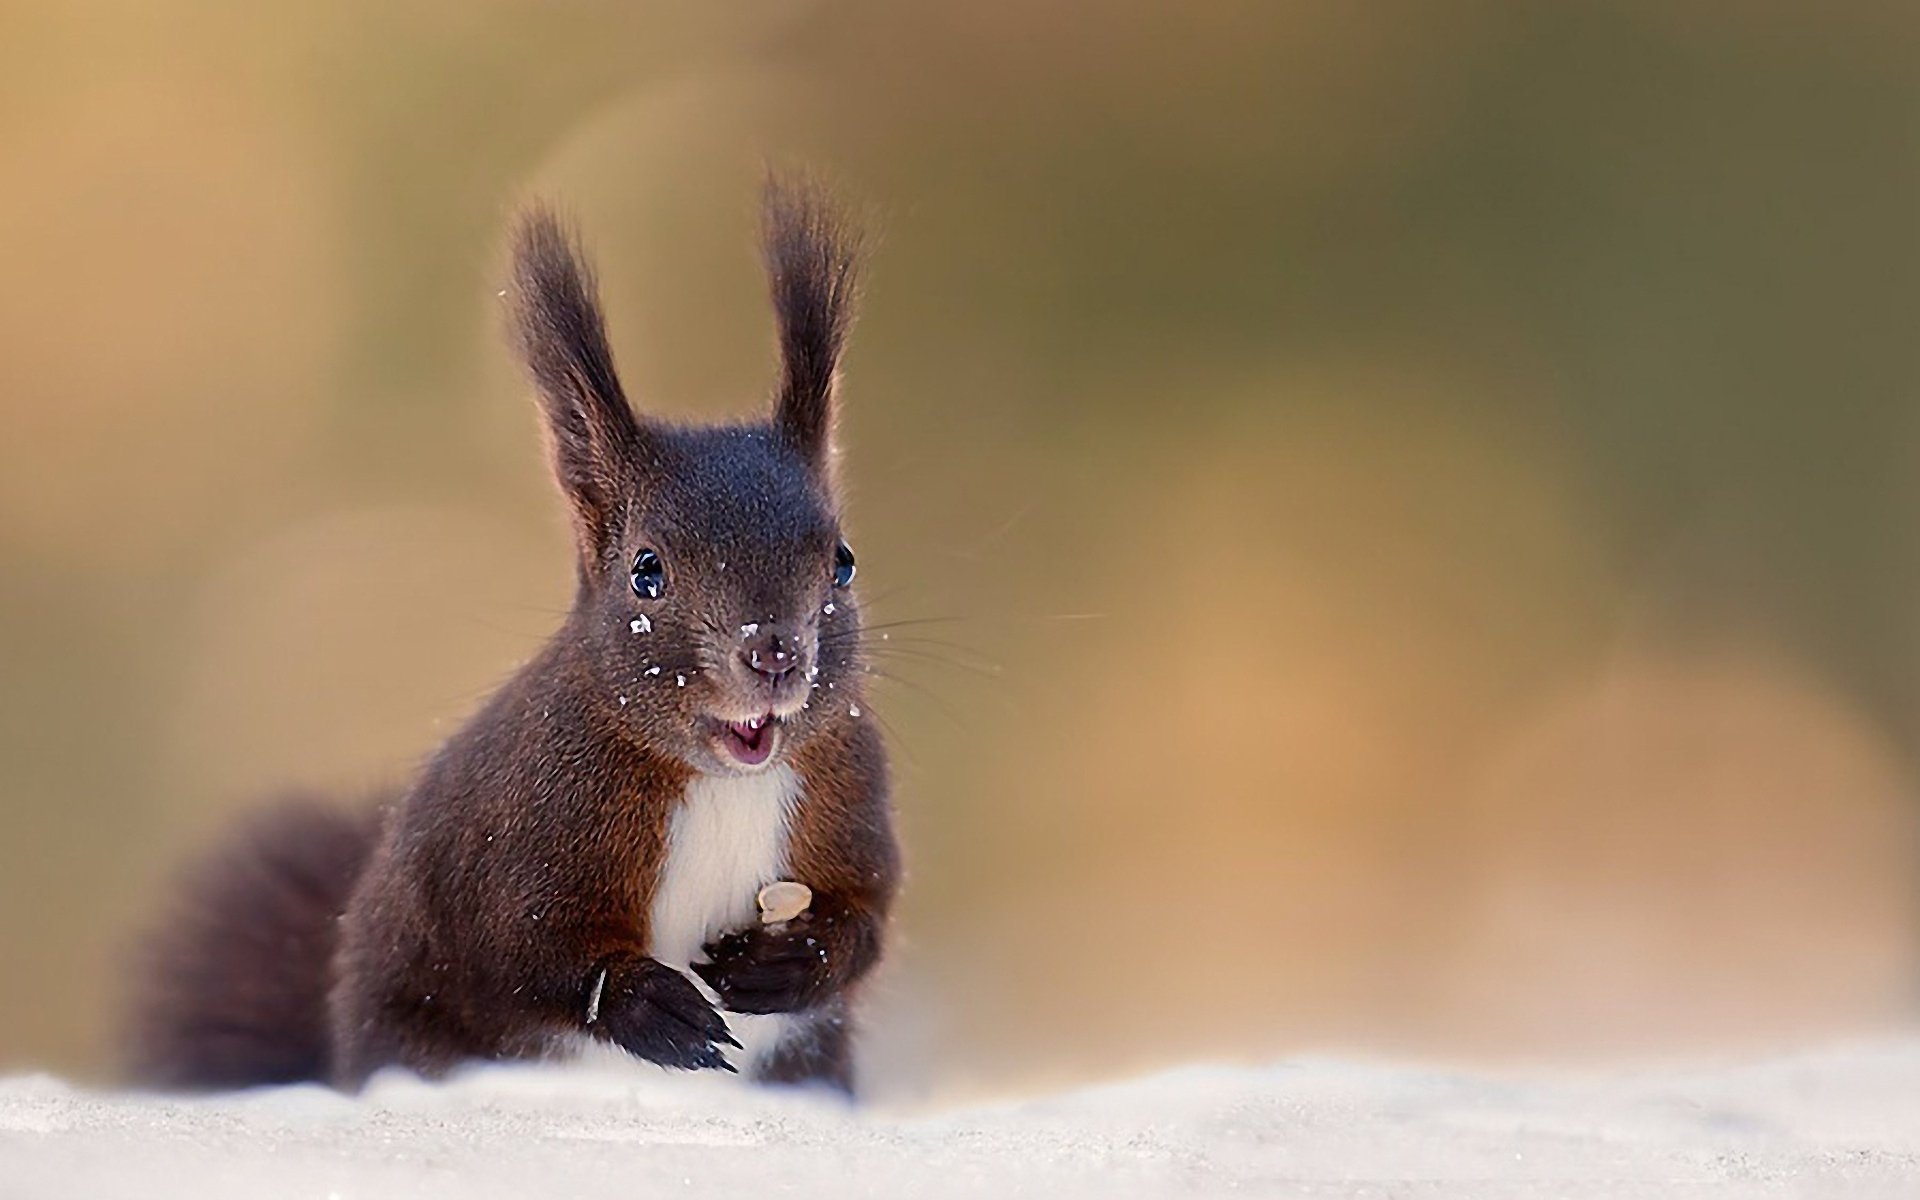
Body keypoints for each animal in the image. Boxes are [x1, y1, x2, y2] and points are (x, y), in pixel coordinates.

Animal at [123, 176, 901, 1096]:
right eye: (647, 571)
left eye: (843, 561)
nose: (774, 652)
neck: (722, 781)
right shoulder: (519, 835)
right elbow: (524, 954)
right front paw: (646, 1005)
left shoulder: (850, 792)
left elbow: (866, 918)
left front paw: (791, 959)